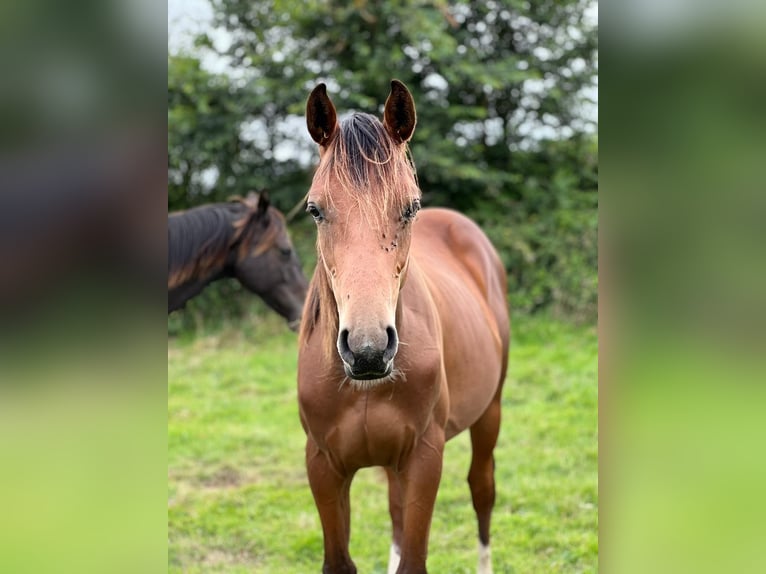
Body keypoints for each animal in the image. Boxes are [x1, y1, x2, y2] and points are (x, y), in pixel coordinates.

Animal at [298, 81, 510, 574]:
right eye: (315, 210)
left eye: (410, 207)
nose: (368, 349)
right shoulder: (323, 466)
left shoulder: (424, 458)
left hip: (490, 411)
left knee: (482, 491)